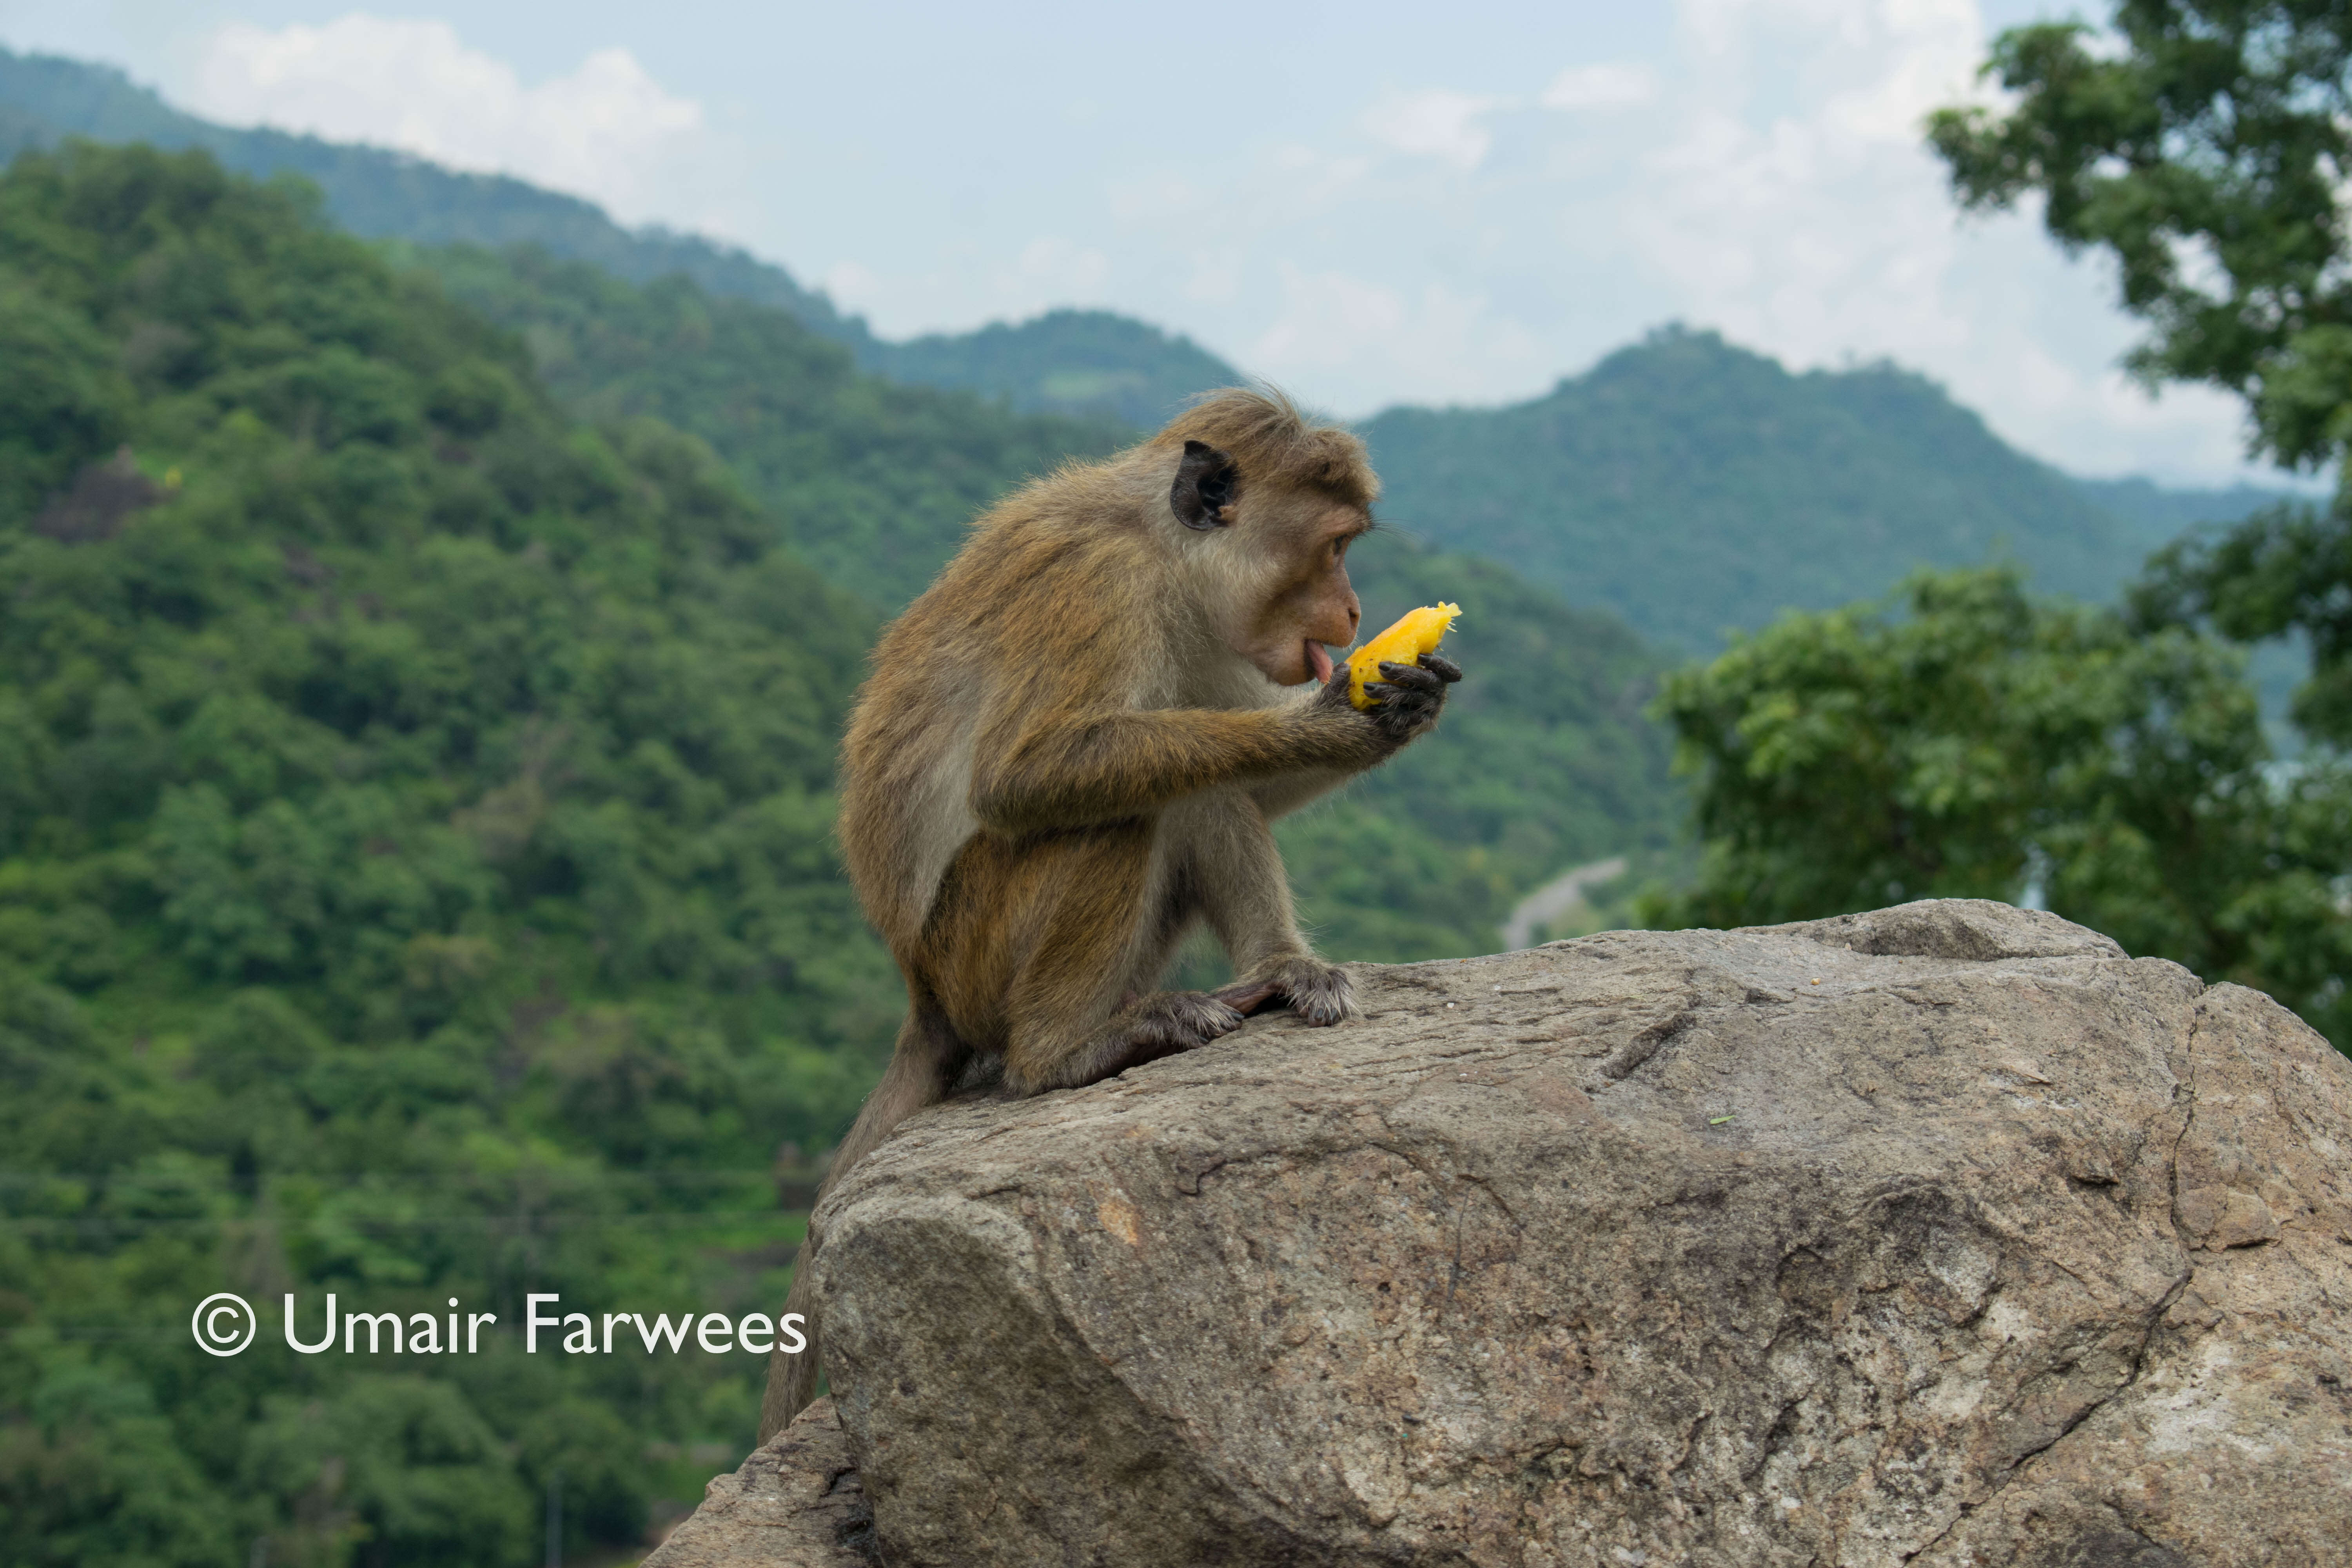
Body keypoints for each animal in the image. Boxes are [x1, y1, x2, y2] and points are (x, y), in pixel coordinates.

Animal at [762, 383, 1458, 1439]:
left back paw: (1278, 969)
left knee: (1196, 781)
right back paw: (1067, 1051)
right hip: (976, 948)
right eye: (1335, 545)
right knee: (1116, 807)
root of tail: (920, 988)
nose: (1353, 610)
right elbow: (1025, 775)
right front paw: (1331, 718)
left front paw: (1402, 709)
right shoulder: (1102, 585)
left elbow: (1244, 780)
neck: (1165, 554)